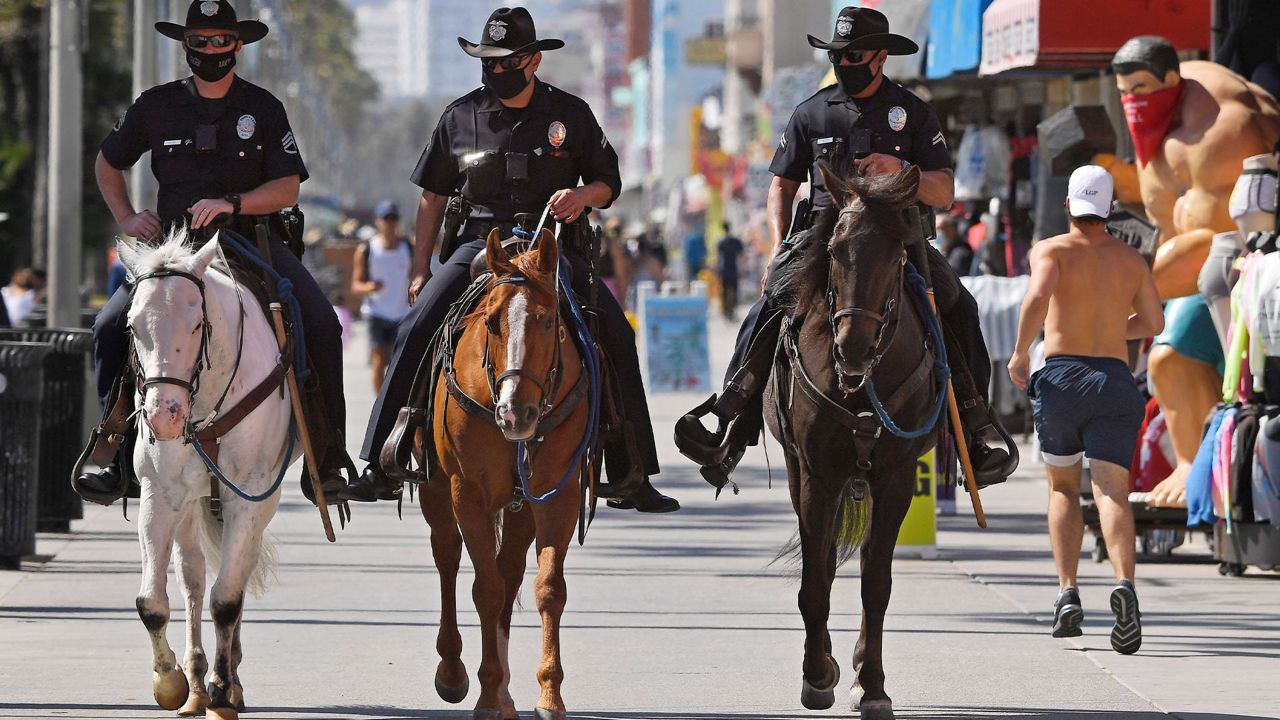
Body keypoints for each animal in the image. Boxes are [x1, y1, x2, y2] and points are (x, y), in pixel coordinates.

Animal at [118, 228, 296, 717]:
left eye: (197, 323)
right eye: (132, 327)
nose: (164, 415)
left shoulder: (249, 496)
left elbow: (227, 599)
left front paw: (221, 686)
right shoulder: (159, 495)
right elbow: (151, 602)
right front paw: (171, 682)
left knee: (233, 576)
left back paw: (225, 682)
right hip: (191, 504)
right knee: (193, 578)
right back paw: (195, 685)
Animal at [424, 225, 593, 717]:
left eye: (548, 320)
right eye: (492, 321)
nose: (515, 413)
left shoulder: (558, 494)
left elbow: (547, 588)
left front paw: (549, 693)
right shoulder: (467, 493)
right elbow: (485, 589)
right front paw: (484, 692)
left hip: (521, 508)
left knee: (511, 569)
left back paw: (503, 690)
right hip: (437, 493)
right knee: (447, 557)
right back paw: (454, 670)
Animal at [762, 163, 947, 717]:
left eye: (895, 252)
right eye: (835, 249)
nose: (853, 347)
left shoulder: (896, 479)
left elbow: (876, 584)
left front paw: (875, 685)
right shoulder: (818, 476)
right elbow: (815, 581)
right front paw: (817, 675)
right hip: (801, 473)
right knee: (822, 563)